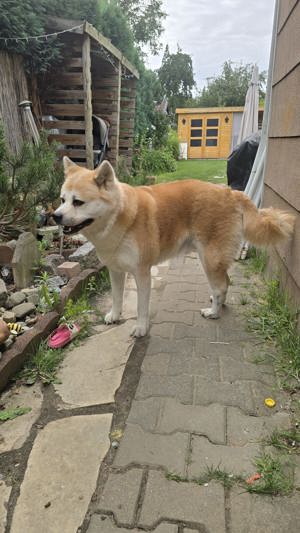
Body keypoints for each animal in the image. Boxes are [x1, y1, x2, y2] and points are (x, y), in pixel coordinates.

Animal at [54, 156, 296, 334]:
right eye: (62, 200)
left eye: (78, 202)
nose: (55, 216)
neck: (119, 217)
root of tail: (231, 192)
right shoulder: (115, 270)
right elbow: (117, 297)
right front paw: (115, 315)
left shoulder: (142, 273)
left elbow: (141, 307)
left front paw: (141, 328)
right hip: (213, 260)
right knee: (225, 283)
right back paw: (217, 304)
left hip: (210, 259)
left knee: (221, 286)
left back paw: (213, 312)